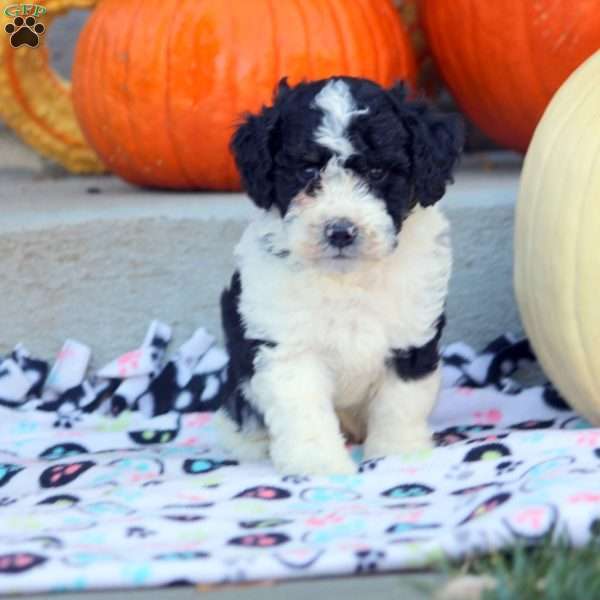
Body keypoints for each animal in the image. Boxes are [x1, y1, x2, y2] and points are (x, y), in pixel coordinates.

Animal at [216, 77, 464, 476]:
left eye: (377, 173)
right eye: (307, 172)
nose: (341, 231)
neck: (348, 277)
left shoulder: (411, 336)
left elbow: (401, 401)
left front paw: (398, 454)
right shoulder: (287, 345)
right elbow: (303, 410)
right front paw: (316, 465)